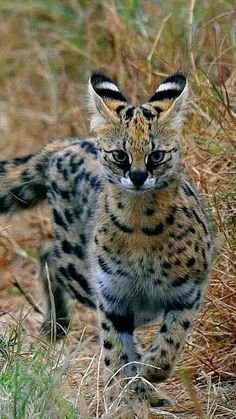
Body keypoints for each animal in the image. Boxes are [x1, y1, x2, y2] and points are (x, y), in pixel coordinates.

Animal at [0, 74, 215, 408]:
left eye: (156, 155)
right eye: (120, 155)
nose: (138, 177)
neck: (141, 226)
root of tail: (66, 143)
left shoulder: (188, 292)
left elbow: (169, 343)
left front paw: (149, 374)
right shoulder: (112, 296)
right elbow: (116, 352)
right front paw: (120, 396)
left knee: (47, 251)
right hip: (82, 273)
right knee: (49, 253)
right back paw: (56, 324)